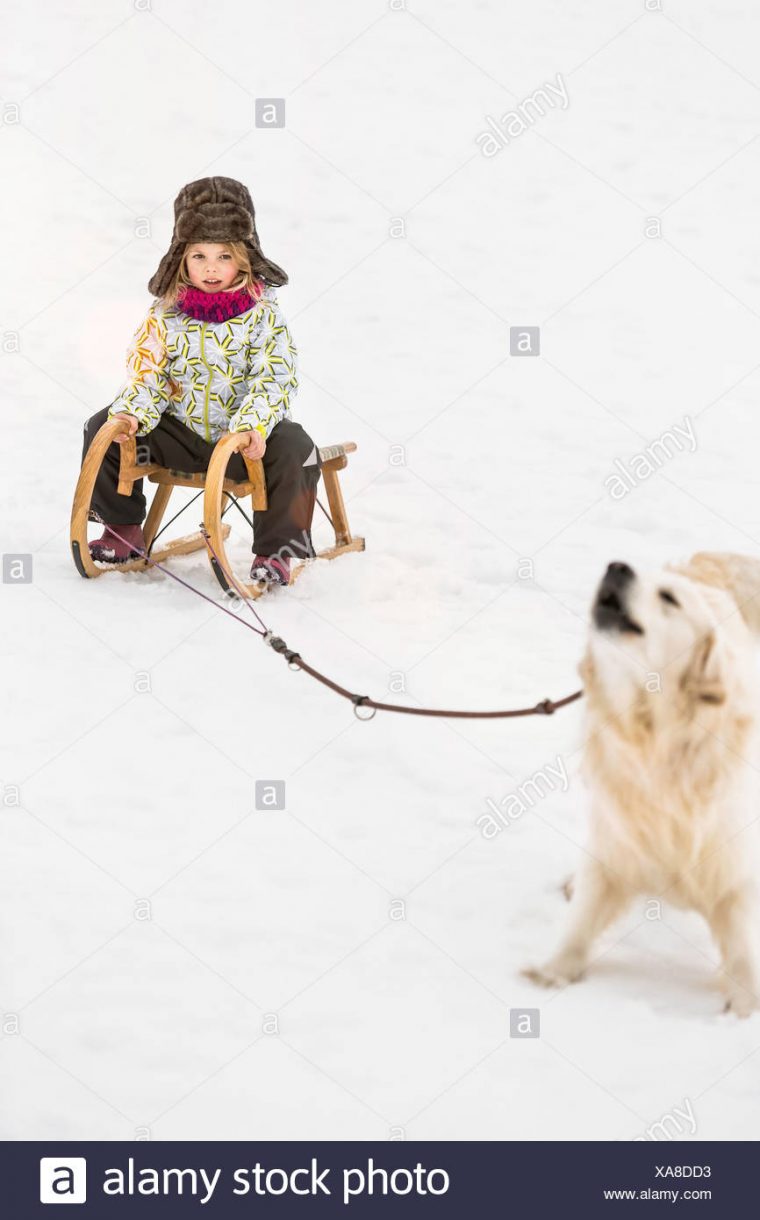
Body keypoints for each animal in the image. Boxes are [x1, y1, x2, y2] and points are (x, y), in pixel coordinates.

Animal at [526, 556, 760, 1019]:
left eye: (669, 597)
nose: (617, 566)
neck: (659, 739)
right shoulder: (617, 838)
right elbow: (584, 916)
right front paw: (553, 972)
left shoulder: (734, 865)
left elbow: (743, 945)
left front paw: (744, 1008)